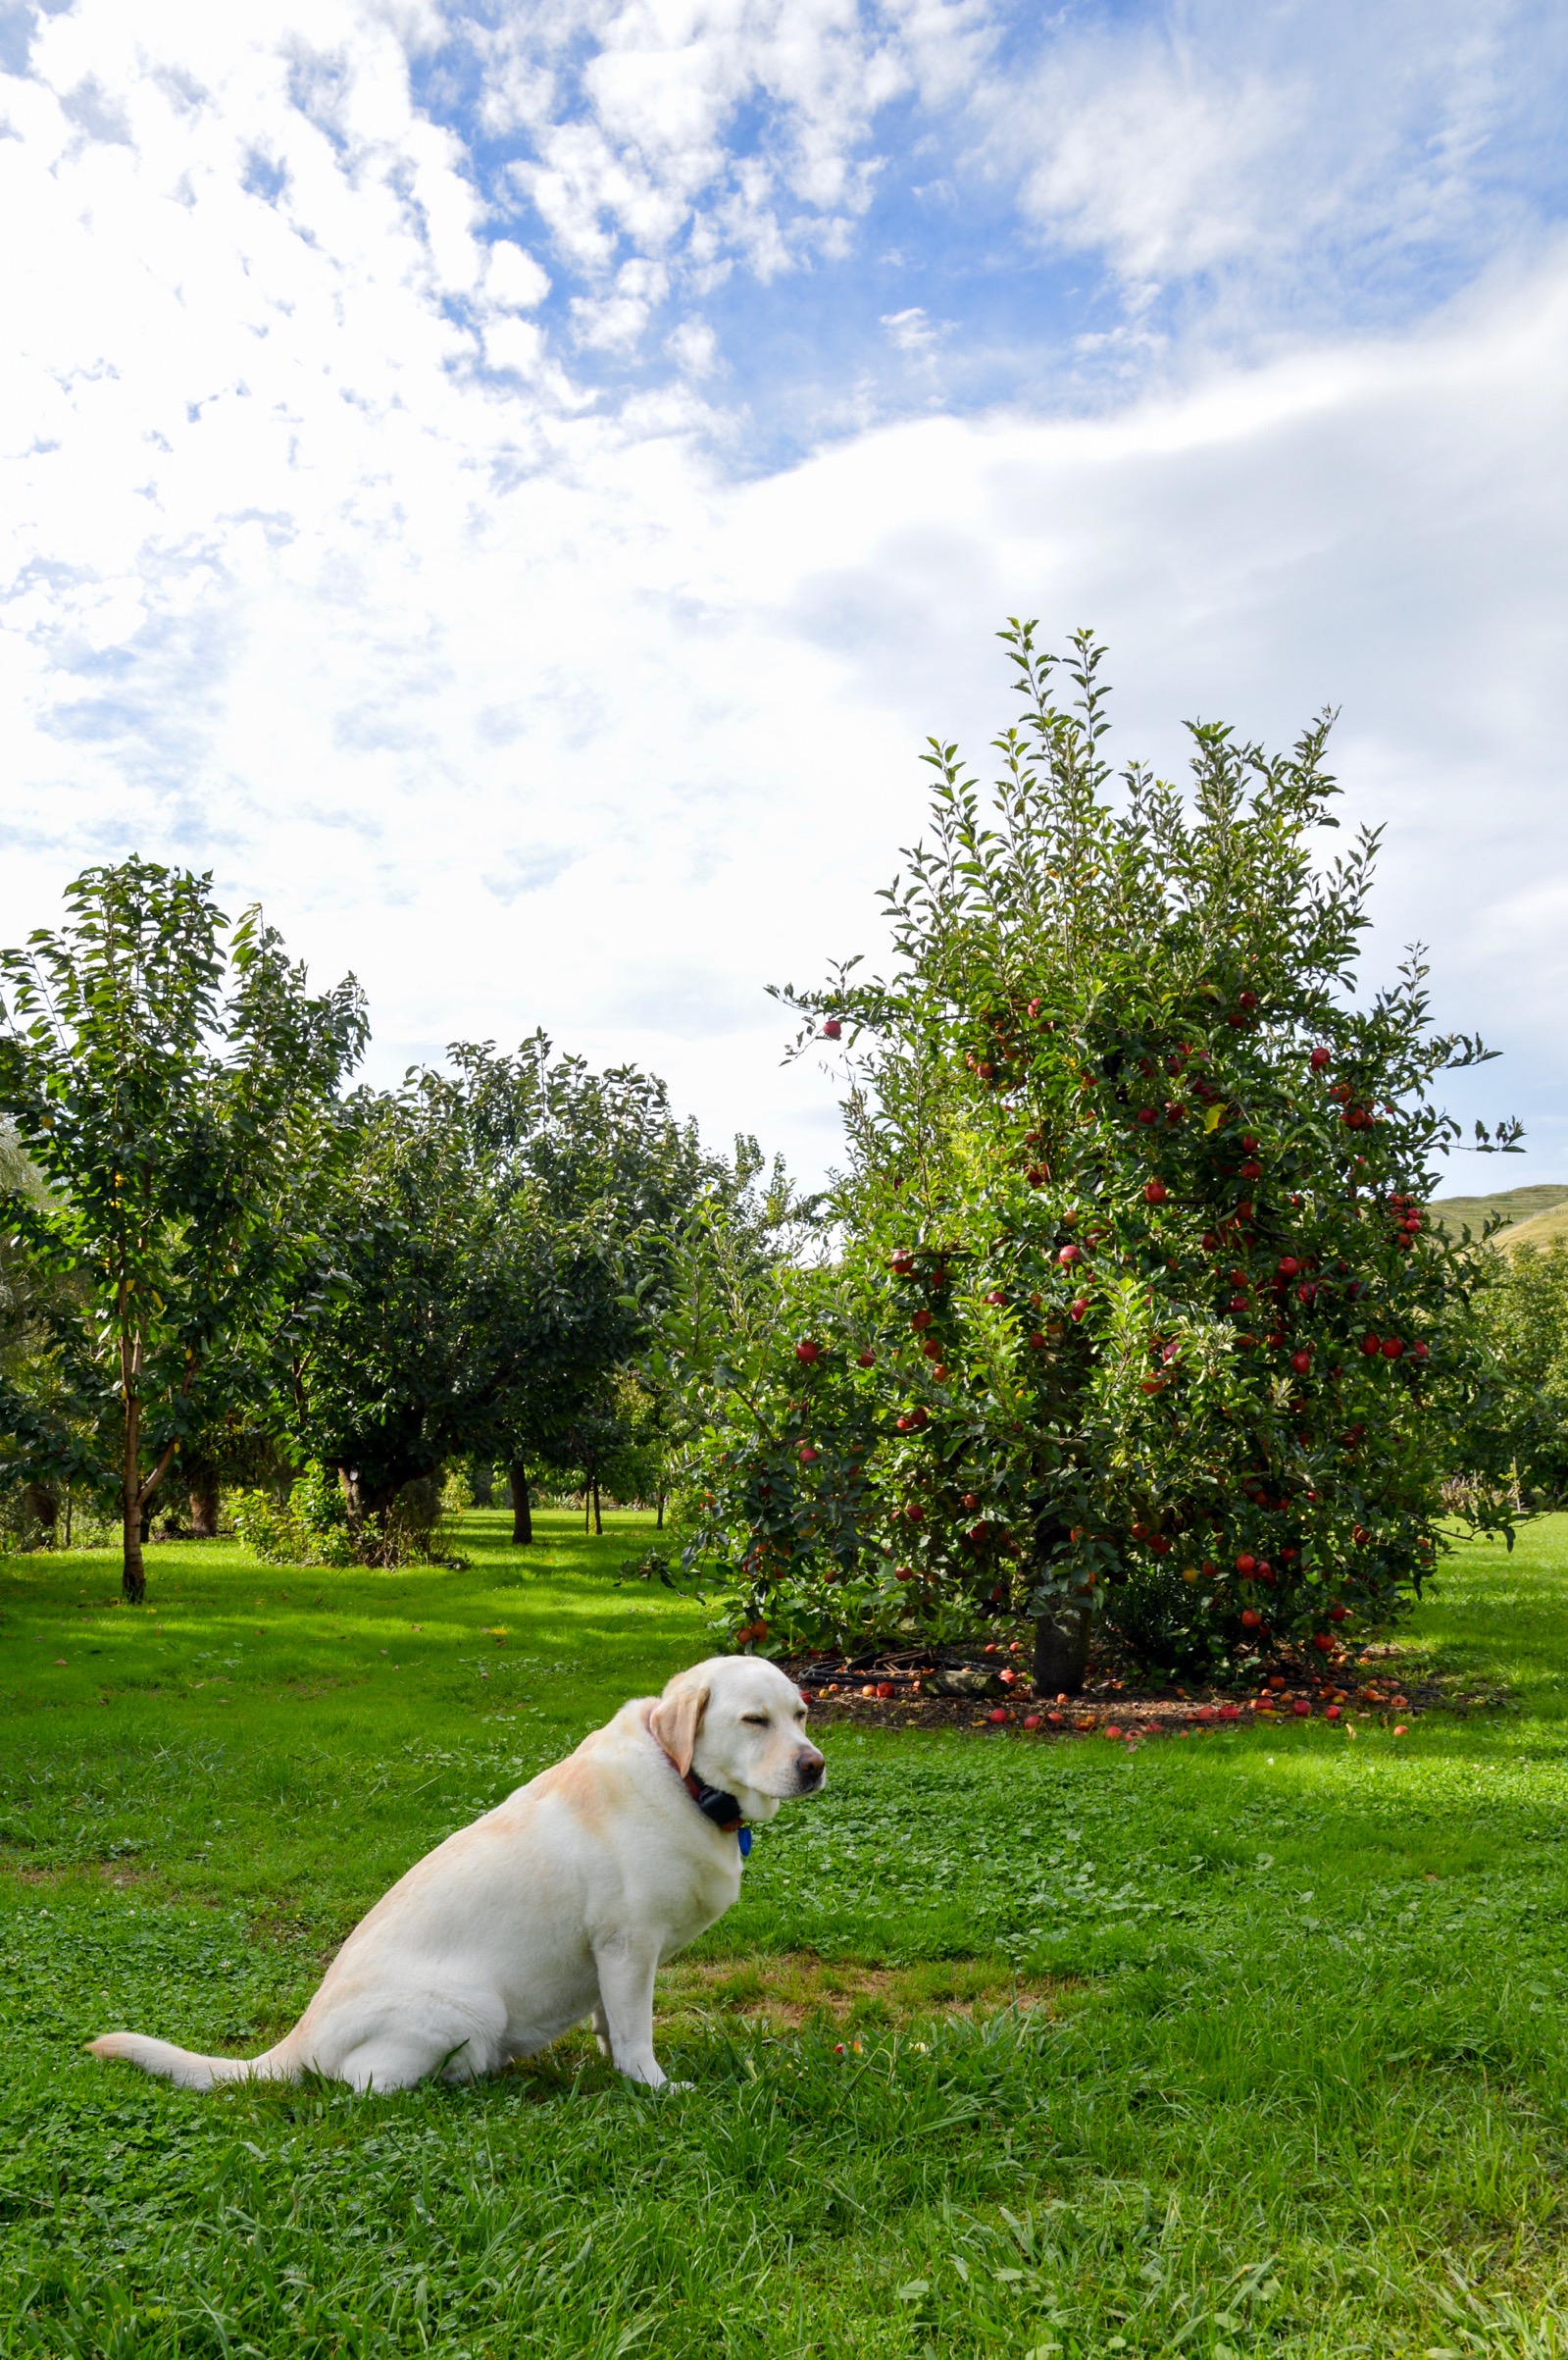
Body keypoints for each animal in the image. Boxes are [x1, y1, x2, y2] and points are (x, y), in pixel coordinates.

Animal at [86, 1652, 825, 2095]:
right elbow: (635, 2032)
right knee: (364, 2085)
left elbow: (612, 2024)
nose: (814, 1765)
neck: (685, 1781)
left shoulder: (615, 1962)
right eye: (753, 1720)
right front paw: (654, 2089)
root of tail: (295, 2041)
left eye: (801, 1713)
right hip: (470, 2008)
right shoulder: (627, 1946)